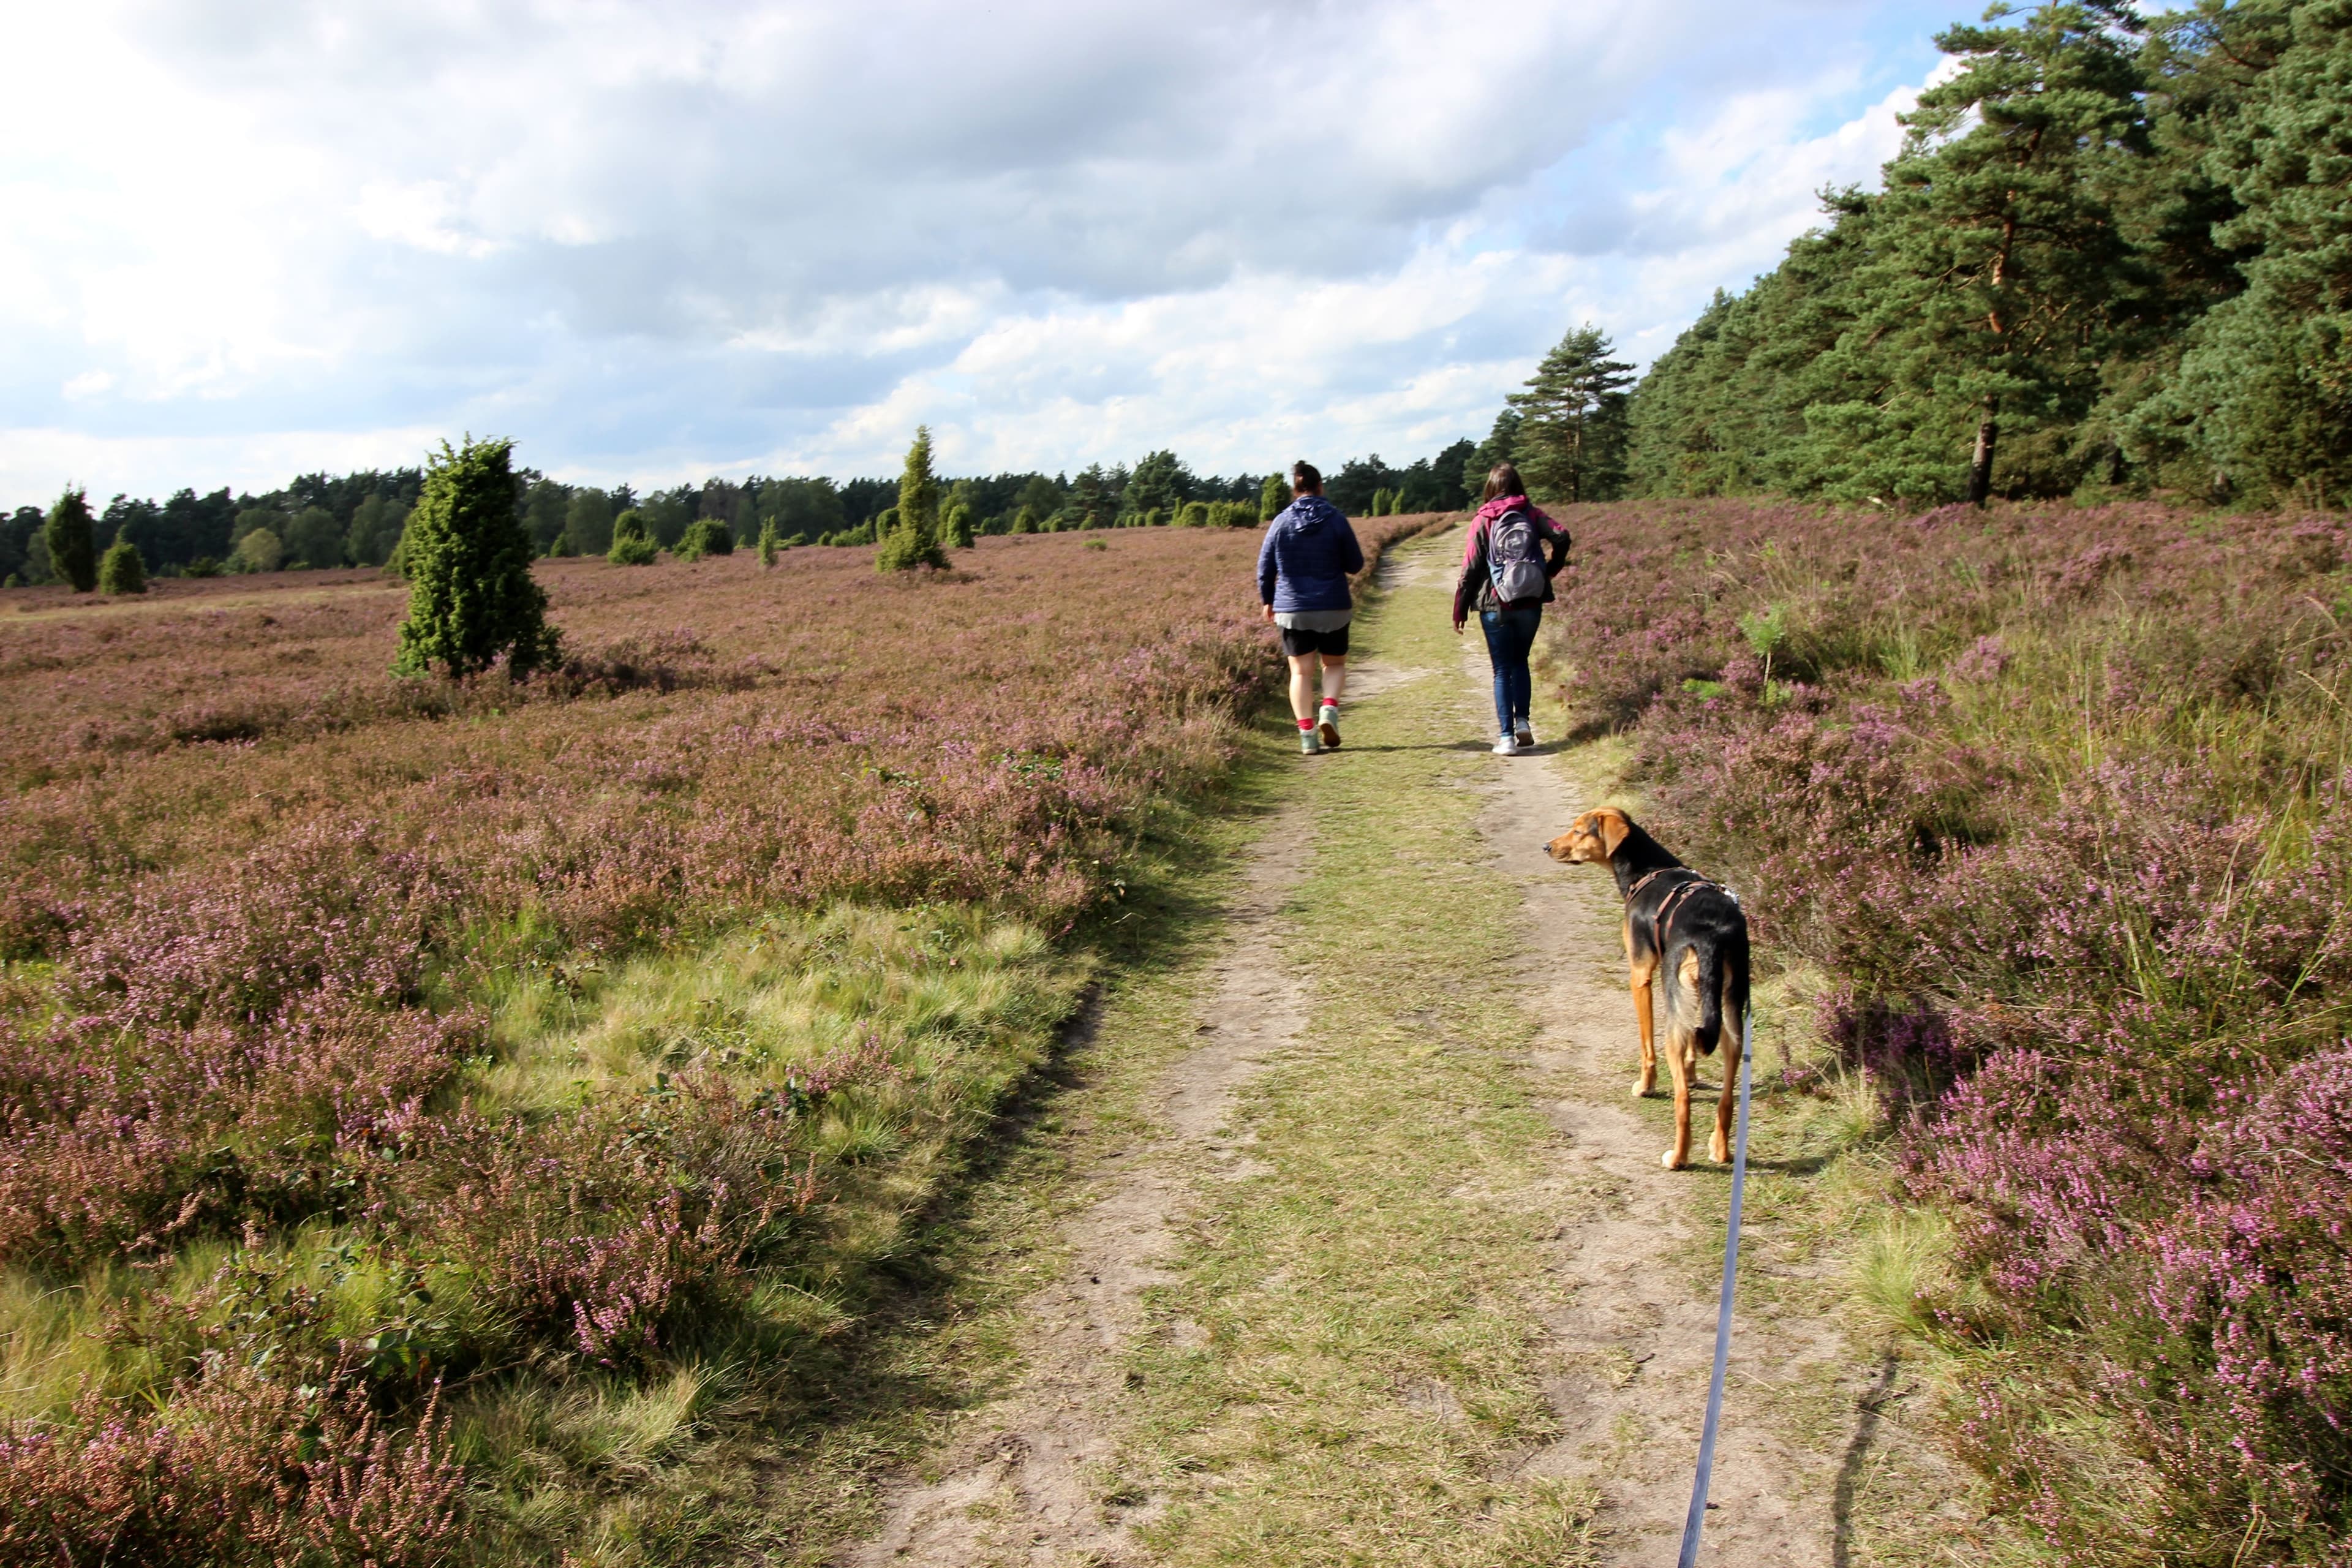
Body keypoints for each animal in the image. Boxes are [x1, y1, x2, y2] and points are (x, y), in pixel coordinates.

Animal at [1543, 809, 1749, 1166]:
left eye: (1579, 831)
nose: (1547, 847)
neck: (1648, 871)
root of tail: (1712, 933)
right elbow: (1694, 1051)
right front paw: (1693, 1075)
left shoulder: (1640, 976)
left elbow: (1645, 1044)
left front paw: (1646, 1085)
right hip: (1731, 1016)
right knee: (1726, 1098)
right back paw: (1720, 1149)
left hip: (1675, 1025)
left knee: (1682, 1102)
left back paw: (1678, 1157)